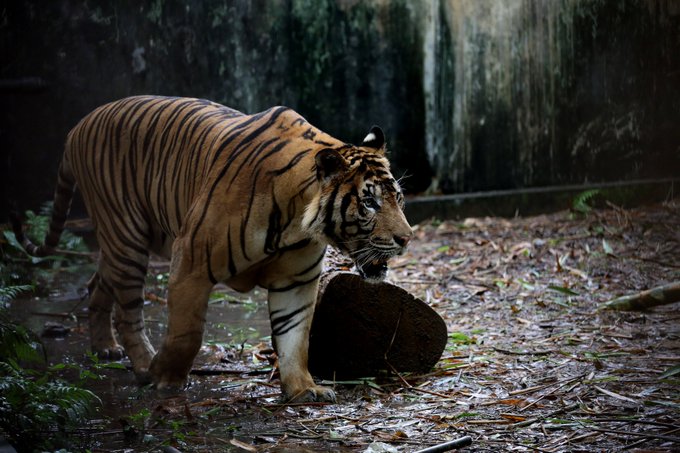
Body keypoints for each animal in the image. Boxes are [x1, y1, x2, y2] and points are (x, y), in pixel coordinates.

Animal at [11, 94, 414, 400]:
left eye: (397, 198)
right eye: (369, 203)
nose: (406, 238)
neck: (296, 223)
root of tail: (77, 126)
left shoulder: (296, 282)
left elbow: (295, 337)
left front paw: (303, 389)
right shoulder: (190, 261)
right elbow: (187, 333)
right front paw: (166, 379)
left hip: (117, 245)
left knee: (97, 284)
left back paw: (104, 347)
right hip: (126, 237)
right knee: (129, 311)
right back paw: (142, 364)